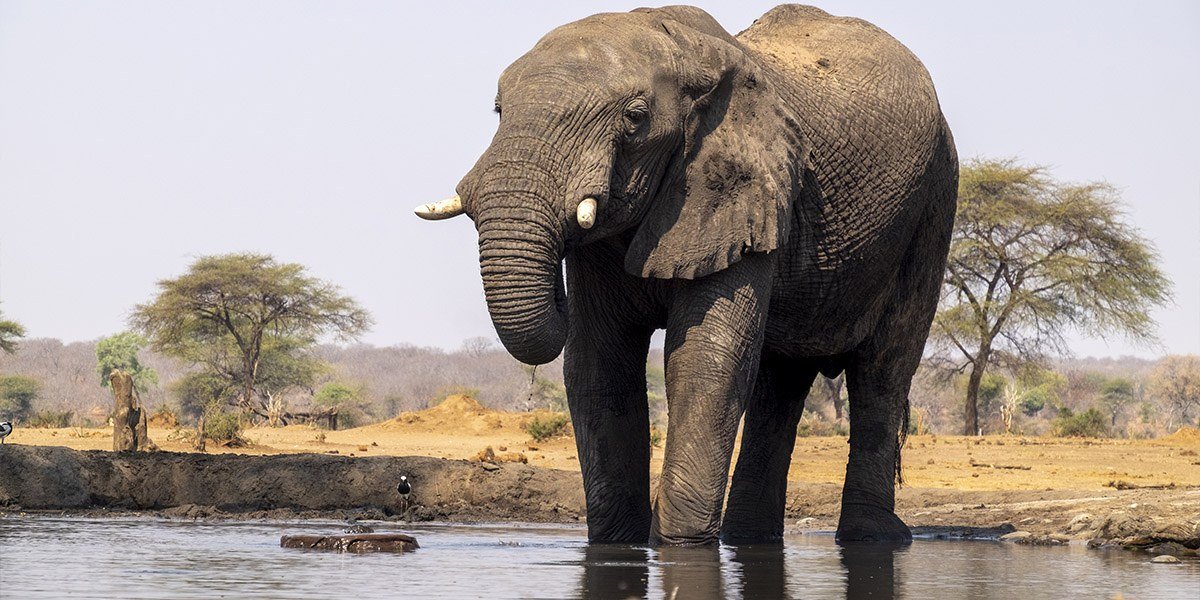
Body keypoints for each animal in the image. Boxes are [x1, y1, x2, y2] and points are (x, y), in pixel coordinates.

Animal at [416, 4, 956, 545]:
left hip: (934, 202)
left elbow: (704, 361)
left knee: (882, 374)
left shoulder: (745, 193)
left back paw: (873, 537)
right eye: (498, 111)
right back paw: (749, 537)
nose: (556, 289)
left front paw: (678, 546)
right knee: (780, 382)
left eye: (635, 119)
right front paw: (619, 544)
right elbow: (598, 364)